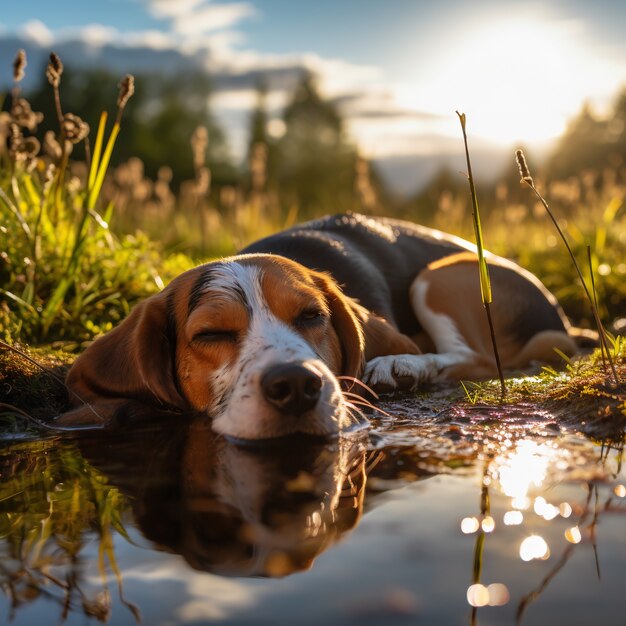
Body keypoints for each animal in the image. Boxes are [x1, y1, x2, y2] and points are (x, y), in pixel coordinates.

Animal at [63, 212, 580, 436]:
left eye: (312, 316)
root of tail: (555, 308)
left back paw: (402, 365)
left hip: (440, 275)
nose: (294, 385)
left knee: (475, 356)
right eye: (210, 334)